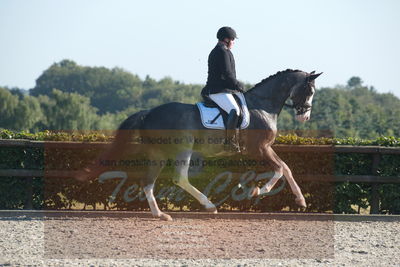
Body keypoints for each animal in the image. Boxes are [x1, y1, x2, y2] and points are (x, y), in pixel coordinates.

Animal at [77, 69, 322, 222]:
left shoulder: (261, 150)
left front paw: (300, 200)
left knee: (148, 182)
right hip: (183, 148)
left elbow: (286, 168)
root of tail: (149, 112)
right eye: (309, 91)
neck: (262, 106)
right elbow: (280, 169)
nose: (304, 117)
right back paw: (209, 205)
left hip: (158, 153)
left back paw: (161, 215)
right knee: (180, 178)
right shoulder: (260, 148)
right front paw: (257, 191)